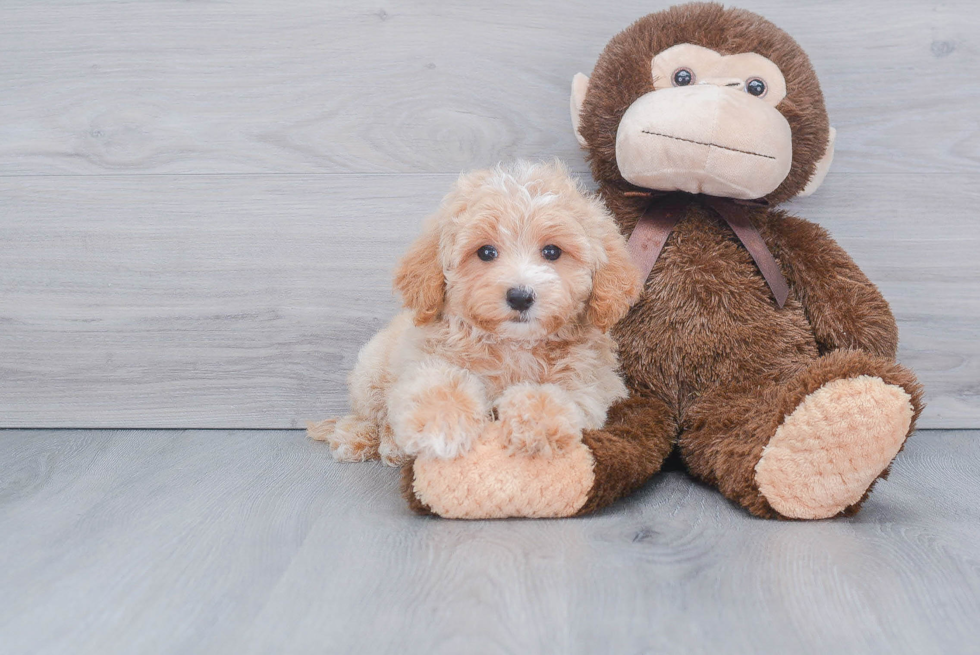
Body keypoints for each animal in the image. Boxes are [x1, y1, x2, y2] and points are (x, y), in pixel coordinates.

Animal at [310, 159, 640, 466]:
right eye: (486, 252)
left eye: (552, 252)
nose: (520, 297)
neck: (515, 345)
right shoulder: (425, 359)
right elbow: (436, 387)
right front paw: (443, 425)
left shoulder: (591, 383)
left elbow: (560, 398)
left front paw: (535, 426)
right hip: (372, 373)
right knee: (372, 415)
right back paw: (365, 439)